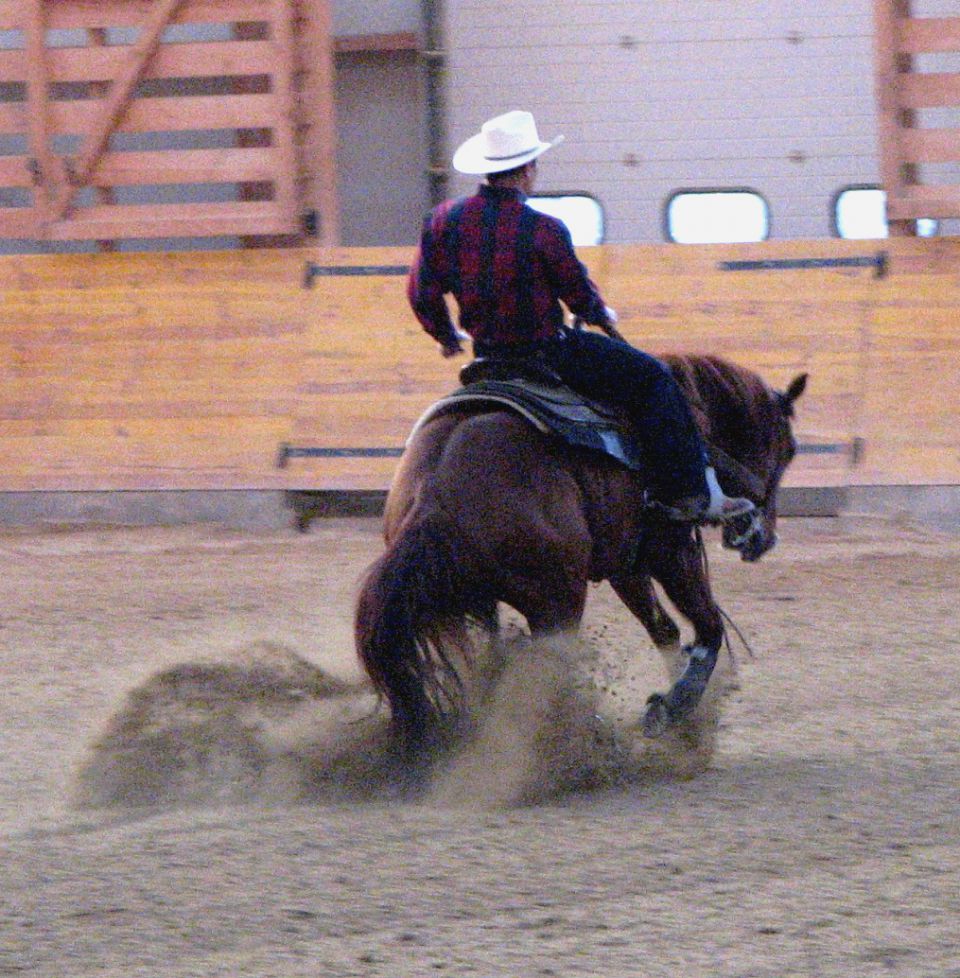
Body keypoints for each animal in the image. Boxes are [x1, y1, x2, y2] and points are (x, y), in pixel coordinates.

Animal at [356, 352, 808, 756]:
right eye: (788, 450)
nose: (763, 538)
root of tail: (432, 497)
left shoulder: (626, 565)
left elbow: (664, 630)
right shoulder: (671, 550)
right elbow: (709, 627)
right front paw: (674, 708)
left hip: (476, 603)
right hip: (557, 602)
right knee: (550, 669)